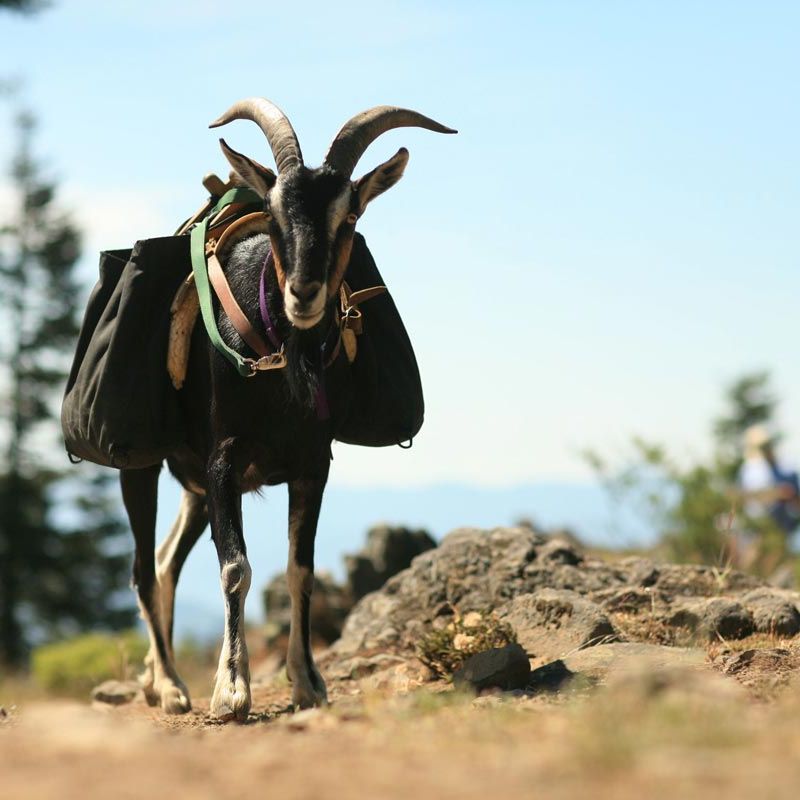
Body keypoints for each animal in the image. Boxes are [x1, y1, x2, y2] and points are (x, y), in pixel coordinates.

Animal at [118, 98, 454, 719]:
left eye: (349, 218)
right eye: (273, 216)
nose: (303, 292)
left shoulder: (311, 463)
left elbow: (302, 571)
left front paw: (308, 682)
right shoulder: (224, 459)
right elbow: (235, 569)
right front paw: (231, 691)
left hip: (193, 485)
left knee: (165, 560)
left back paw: (157, 678)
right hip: (141, 464)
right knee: (141, 570)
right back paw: (171, 686)